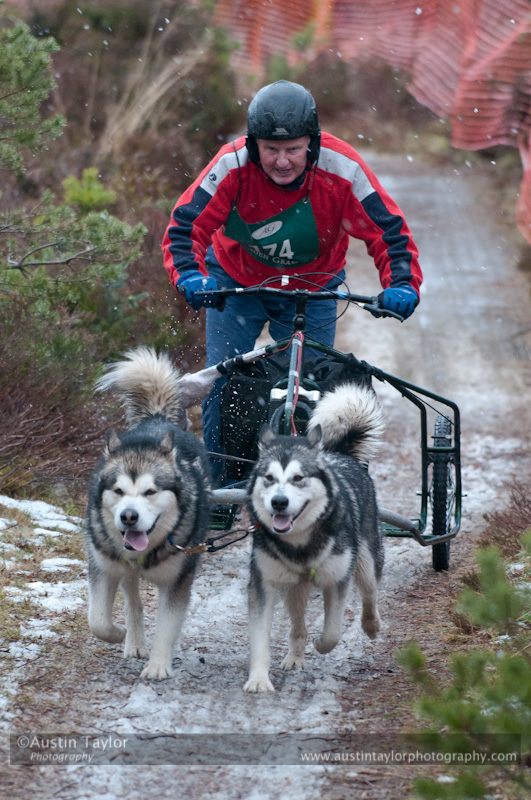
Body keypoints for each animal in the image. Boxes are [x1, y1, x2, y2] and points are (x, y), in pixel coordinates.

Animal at [86, 346, 211, 680]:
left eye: (151, 492)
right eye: (118, 491)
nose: (128, 517)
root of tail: (156, 419)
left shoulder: (178, 579)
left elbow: (167, 626)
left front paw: (158, 665)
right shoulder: (103, 566)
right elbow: (98, 620)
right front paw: (117, 633)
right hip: (124, 571)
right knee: (133, 601)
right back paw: (134, 639)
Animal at [245, 384, 386, 692]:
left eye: (298, 478)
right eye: (269, 477)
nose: (279, 503)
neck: (300, 544)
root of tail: (340, 454)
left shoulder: (338, 579)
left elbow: (333, 630)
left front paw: (322, 644)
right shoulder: (263, 584)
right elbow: (260, 637)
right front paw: (259, 679)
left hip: (365, 561)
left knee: (370, 592)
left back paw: (371, 625)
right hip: (295, 587)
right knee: (298, 625)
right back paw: (295, 656)